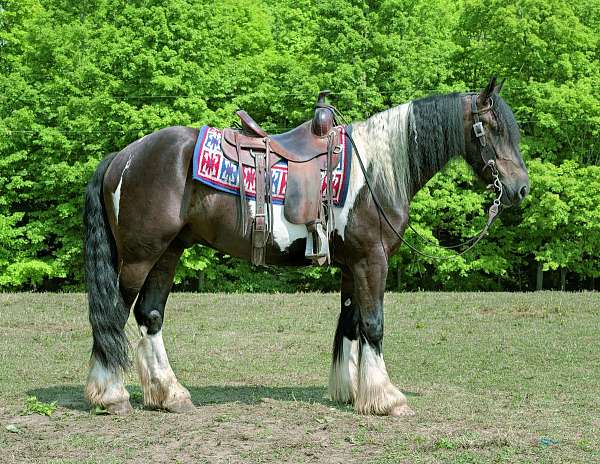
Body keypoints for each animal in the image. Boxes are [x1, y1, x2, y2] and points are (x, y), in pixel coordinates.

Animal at [83, 77, 524, 416]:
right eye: (492, 129)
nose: (520, 188)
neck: (374, 172)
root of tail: (124, 155)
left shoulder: (352, 265)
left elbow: (352, 324)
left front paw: (352, 392)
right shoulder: (372, 260)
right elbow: (374, 325)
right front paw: (387, 398)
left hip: (168, 252)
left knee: (150, 315)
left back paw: (169, 394)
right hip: (139, 257)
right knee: (114, 315)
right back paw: (112, 395)